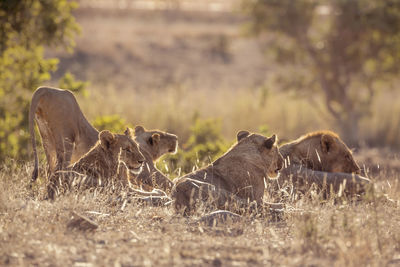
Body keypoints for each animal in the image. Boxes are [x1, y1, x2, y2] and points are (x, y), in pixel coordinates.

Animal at [29, 87, 177, 191]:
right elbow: (167, 183)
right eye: (162, 135)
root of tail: (44, 89)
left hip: (47, 139)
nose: (175, 137)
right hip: (67, 141)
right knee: (58, 171)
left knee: (50, 170)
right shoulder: (147, 172)